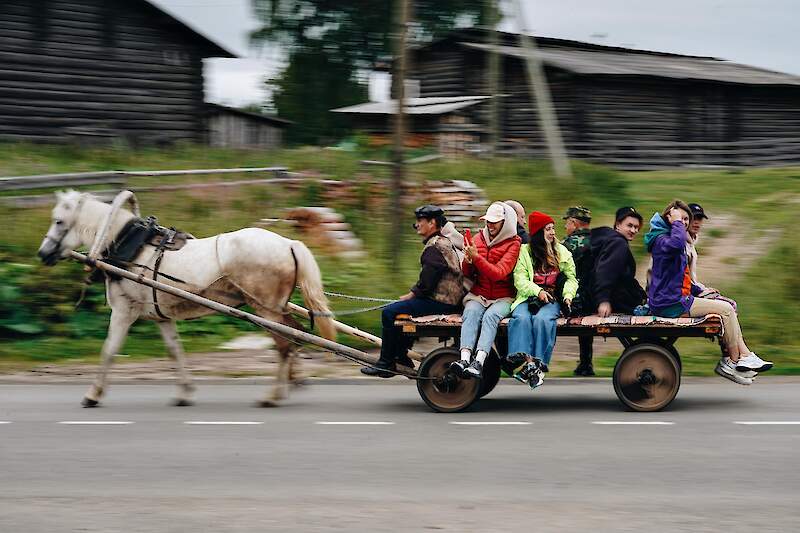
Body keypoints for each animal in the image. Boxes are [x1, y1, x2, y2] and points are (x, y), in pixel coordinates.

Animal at [36, 191, 336, 408]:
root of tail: (289, 243)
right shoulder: (161, 316)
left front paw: (93, 394)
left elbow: (109, 350)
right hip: (275, 308)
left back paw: (272, 396)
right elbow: (175, 350)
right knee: (295, 335)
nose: (43, 253)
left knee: (285, 344)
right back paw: (292, 383)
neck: (129, 247)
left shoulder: (123, 312)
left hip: (265, 309)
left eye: (59, 221)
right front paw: (185, 392)